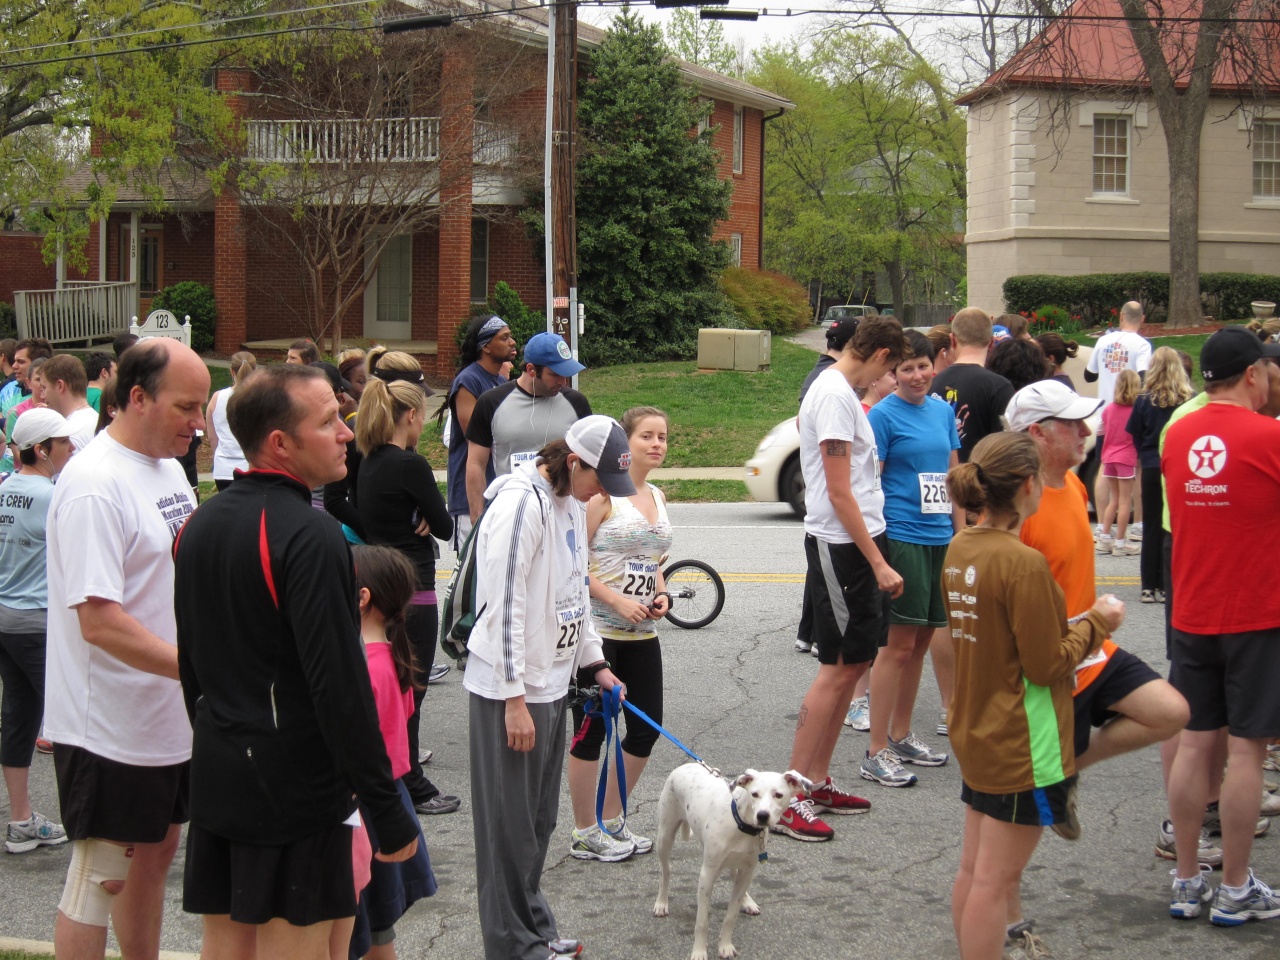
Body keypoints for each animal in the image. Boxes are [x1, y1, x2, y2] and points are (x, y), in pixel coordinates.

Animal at [650, 768, 808, 960]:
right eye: (754, 794)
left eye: (778, 795)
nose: (762, 816)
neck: (741, 823)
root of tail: (687, 765)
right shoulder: (707, 875)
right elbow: (702, 921)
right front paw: (699, 951)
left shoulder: (747, 871)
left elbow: (730, 916)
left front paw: (725, 946)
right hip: (665, 837)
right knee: (665, 872)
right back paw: (661, 903)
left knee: (733, 874)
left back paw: (748, 902)